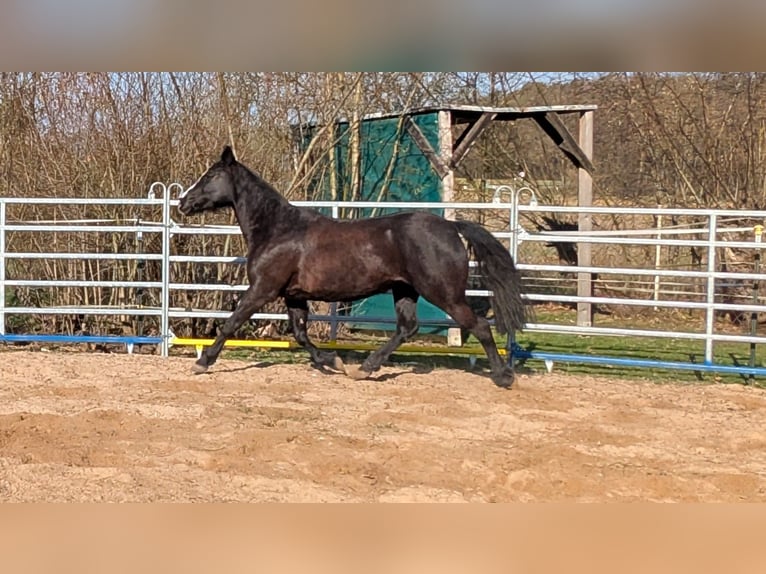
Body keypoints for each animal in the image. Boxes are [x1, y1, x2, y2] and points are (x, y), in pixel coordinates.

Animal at [178, 146, 528, 387]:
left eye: (210, 176)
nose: (183, 203)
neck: (278, 229)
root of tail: (451, 227)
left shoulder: (263, 289)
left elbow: (231, 323)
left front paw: (203, 361)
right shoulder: (294, 296)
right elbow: (300, 334)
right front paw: (333, 362)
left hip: (443, 294)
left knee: (478, 326)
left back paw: (503, 376)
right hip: (404, 290)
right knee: (407, 328)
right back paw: (366, 368)